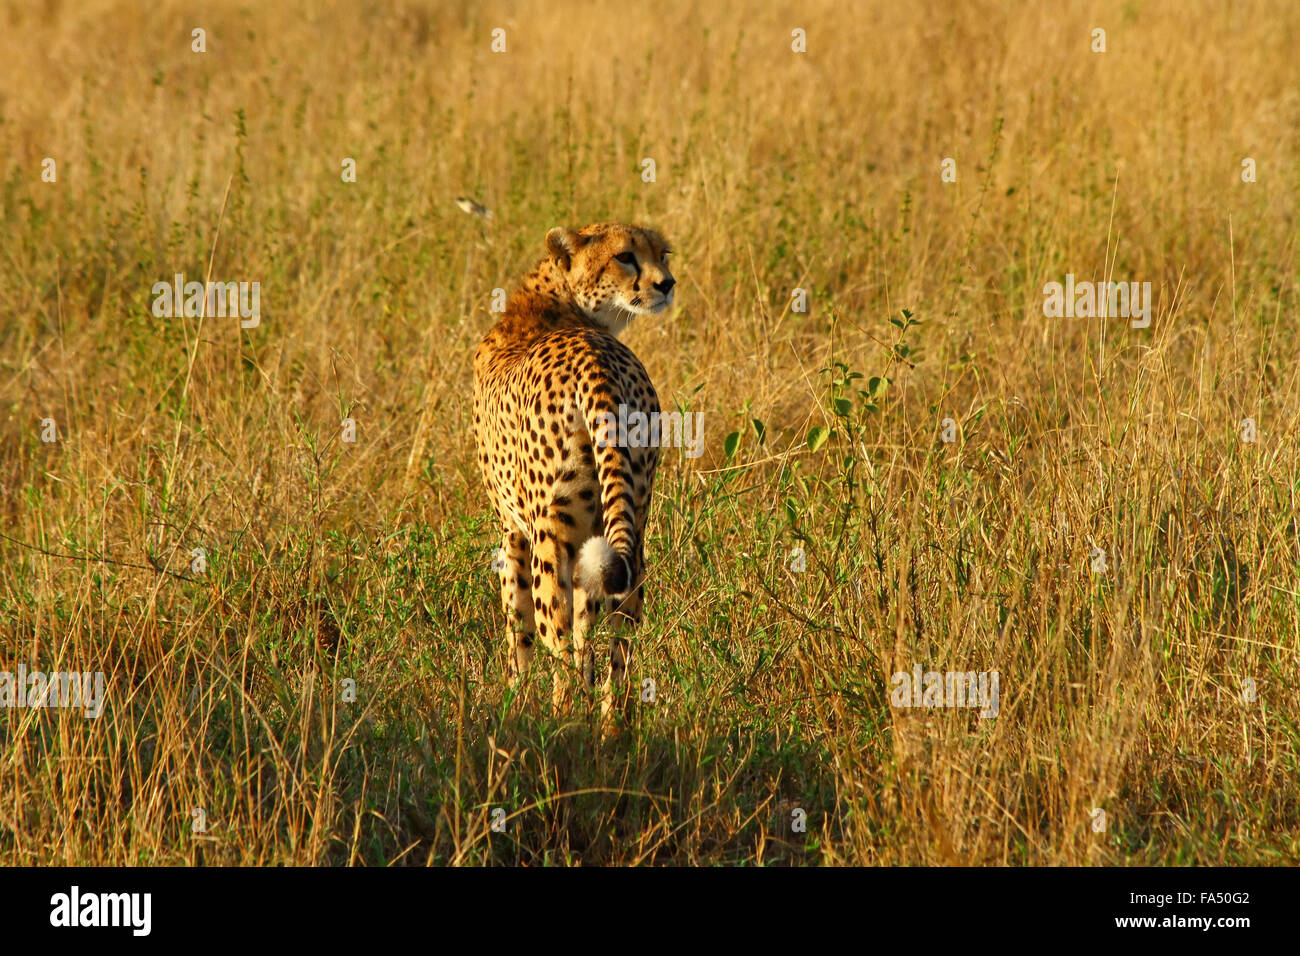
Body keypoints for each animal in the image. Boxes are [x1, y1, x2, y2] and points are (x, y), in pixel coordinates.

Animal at [478, 221, 681, 723]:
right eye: (625, 256)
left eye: (662, 254)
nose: (666, 283)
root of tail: (596, 357)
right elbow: (589, 628)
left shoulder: (513, 532)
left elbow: (519, 630)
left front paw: (515, 703)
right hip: (629, 529)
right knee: (620, 644)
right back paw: (610, 728)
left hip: (551, 537)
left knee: (558, 641)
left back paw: (561, 722)